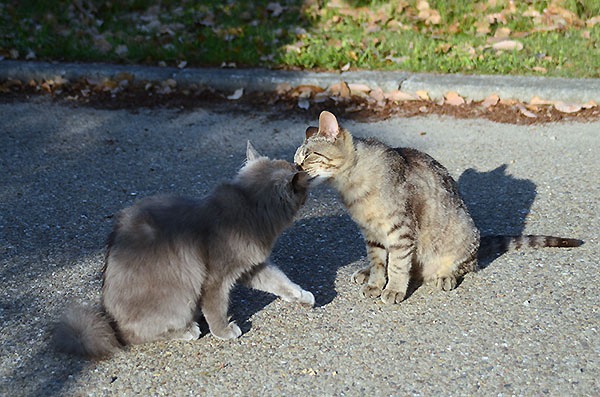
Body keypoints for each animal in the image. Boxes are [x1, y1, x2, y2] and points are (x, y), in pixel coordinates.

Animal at [55, 142, 314, 358]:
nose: (306, 175)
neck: (250, 206)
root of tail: (110, 324)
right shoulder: (217, 278)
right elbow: (216, 308)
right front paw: (224, 331)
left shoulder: (251, 266)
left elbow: (279, 280)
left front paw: (302, 295)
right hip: (179, 299)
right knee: (137, 336)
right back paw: (189, 330)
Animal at [296, 110, 580, 304]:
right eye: (297, 160)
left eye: (307, 157)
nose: (295, 172)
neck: (351, 187)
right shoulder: (372, 235)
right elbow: (378, 262)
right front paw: (376, 281)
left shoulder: (400, 230)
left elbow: (397, 265)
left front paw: (394, 289)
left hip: (463, 234)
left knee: (466, 265)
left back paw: (444, 276)